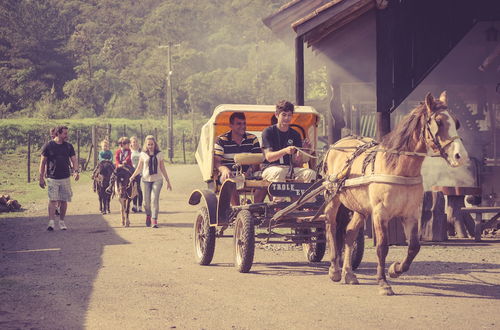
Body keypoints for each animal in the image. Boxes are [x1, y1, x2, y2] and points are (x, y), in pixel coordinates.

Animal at [322, 91, 470, 296]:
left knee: (350, 234)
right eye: (439, 122)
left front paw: (395, 269)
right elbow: (382, 247)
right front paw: (383, 282)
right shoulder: (380, 214)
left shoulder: (411, 214)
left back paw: (349, 274)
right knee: (331, 226)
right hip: (333, 198)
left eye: (456, 122)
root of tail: (338, 144)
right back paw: (335, 270)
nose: (460, 156)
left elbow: (414, 247)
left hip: (361, 208)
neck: (398, 168)